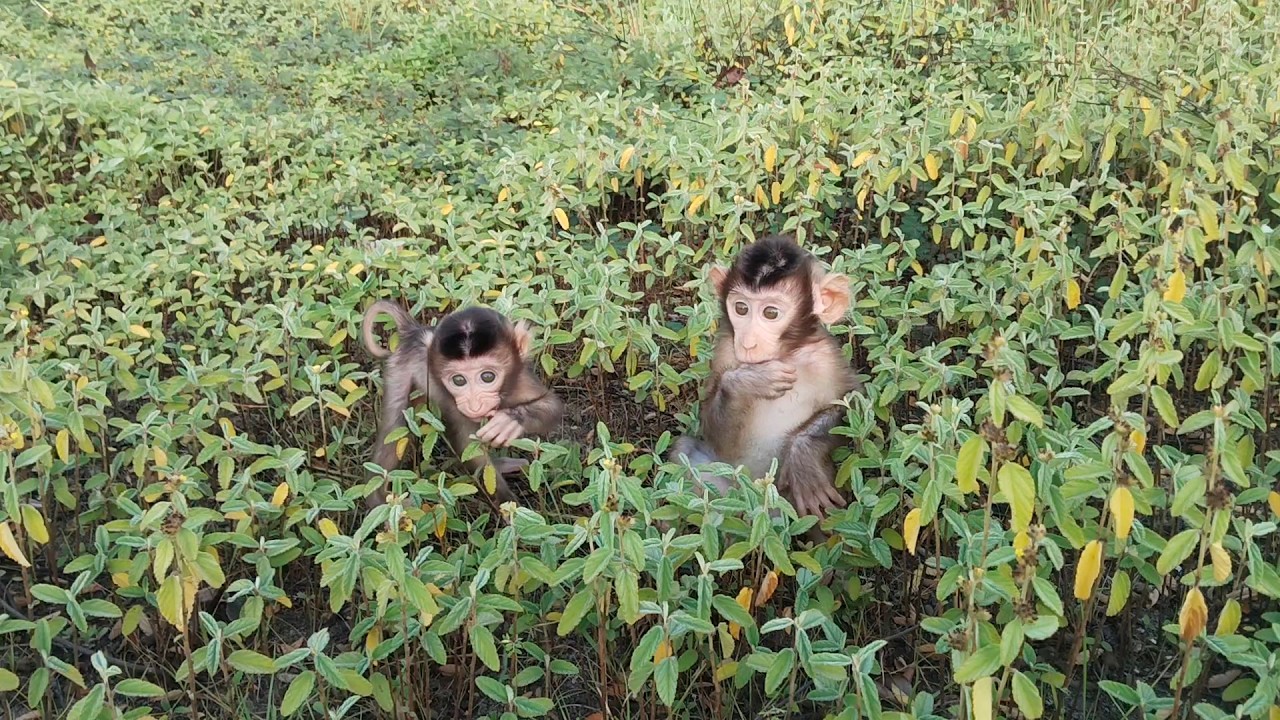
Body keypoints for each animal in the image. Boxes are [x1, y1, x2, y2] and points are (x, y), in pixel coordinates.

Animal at [360, 300, 565, 508]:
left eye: (488, 377)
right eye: (458, 380)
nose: (474, 405)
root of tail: (415, 331)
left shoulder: (520, 381)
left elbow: (552, 407)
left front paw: (509, 421)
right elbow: (467, 441)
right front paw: (508, 504)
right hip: (400, 368)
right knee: (394, 425)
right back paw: (378, 500)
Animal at [671, 233, 862, 524]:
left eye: (771, 313)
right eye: (741, 308)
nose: (748, 343)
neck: (786, 354)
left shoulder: (826, 357)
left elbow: (854, 403)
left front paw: (802, 454)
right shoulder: (725, 349)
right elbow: (715, 434)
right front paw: (748, 381)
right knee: (685, 451)